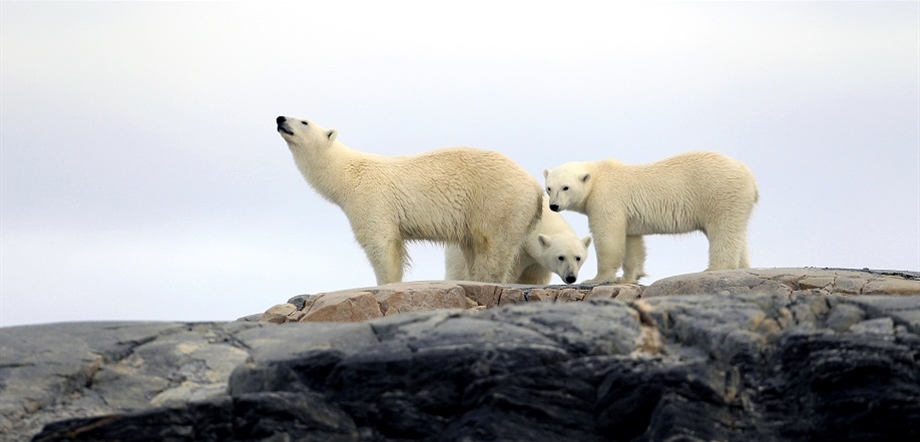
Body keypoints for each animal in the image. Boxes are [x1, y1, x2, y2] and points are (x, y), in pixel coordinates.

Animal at [276, 115, 544, 284]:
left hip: (497, 202)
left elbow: (381, 243)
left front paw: (386, 284)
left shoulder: (371, 199)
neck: (347, 174)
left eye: (304, 121)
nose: (280, 118)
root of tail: (535, 186)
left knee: (493, 246)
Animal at [444, 197, 588, 284]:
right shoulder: (517, 252)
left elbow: (534, 278)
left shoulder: (537, 263)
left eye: (578, 257)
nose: (571, 277)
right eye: (561, 257)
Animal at [544, 151, 760, 284]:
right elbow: (632, 243)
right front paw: (628, 277)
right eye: (549, 188)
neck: (597, 177)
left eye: (566, 187)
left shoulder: (606, 199)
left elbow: (608, 238)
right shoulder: (628, 215)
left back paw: (714, 269)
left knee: (723, 231)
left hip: (720, 194)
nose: (553, 206)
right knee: (737, 234)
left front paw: (598, 278)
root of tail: (751, 177)